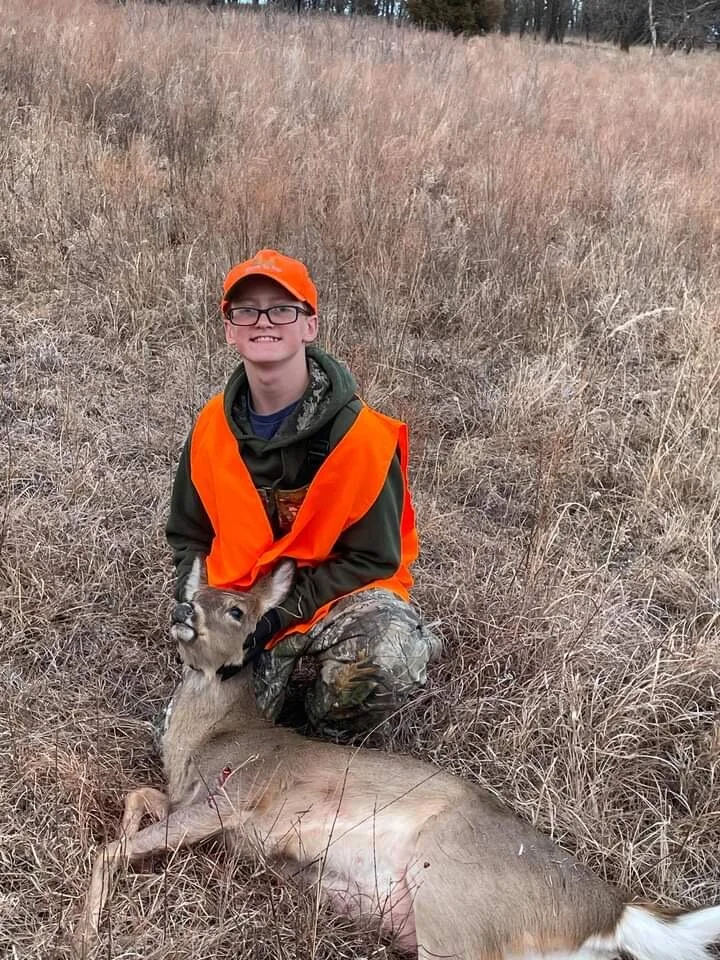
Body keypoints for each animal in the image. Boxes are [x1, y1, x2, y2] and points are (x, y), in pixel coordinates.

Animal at [74, 557, 720, 960]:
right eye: (193, 593)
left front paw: (85, 930)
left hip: (456, 911)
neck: (211, 738)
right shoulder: (192, 801)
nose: (183, 614)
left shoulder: (230, 796)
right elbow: (138, 797)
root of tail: (610, 911)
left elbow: (108, 850)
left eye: (237, 611)